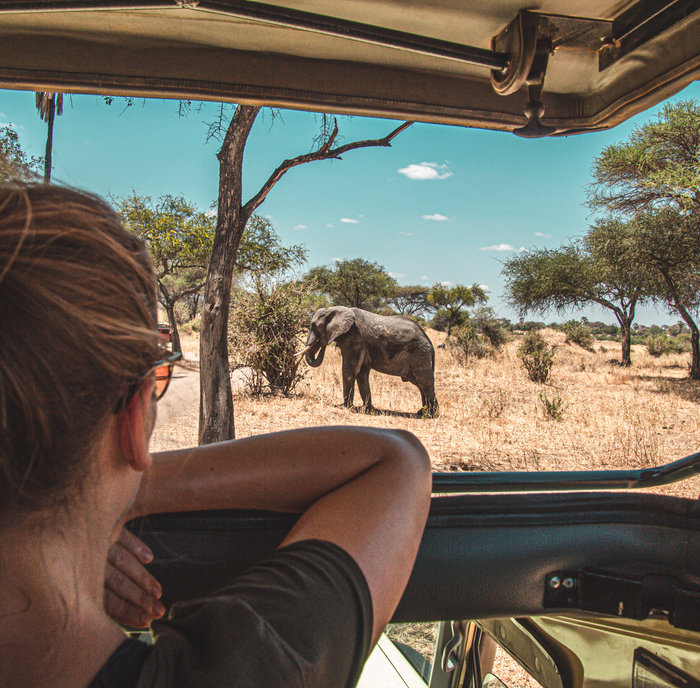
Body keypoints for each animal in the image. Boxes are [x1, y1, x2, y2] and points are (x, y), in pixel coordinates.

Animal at [296, 308, 438, 416]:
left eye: (315, 327)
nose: (322, 342)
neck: (335, 309)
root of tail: (429, 341)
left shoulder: (354, 338)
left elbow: (349, 370)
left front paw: (345, 407)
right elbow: (362, 374)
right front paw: (367, 409)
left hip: (420, 354)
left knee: (424, 381)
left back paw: (430, 415)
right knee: (419, 383)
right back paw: (422, 412)